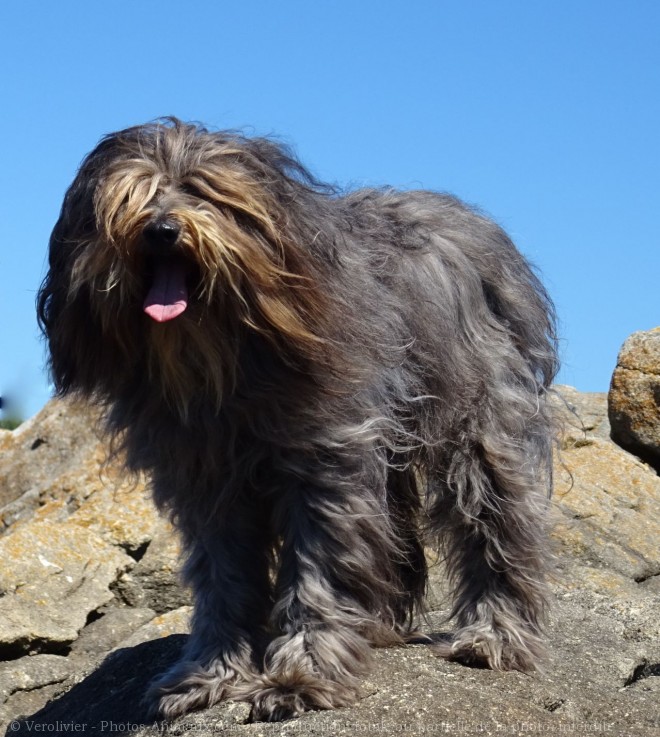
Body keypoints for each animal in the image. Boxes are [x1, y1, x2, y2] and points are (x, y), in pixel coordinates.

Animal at [37, 118, 556, 720]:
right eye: (132, 196)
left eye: (203, 192)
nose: (161, 230)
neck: (221, 358)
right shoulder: (206, 482)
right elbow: (222, 578)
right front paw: (209, 674)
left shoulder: (325, 463)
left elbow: (319, 570)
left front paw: (300, 677)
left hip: (477, 422)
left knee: (494, 521)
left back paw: (493, 636)